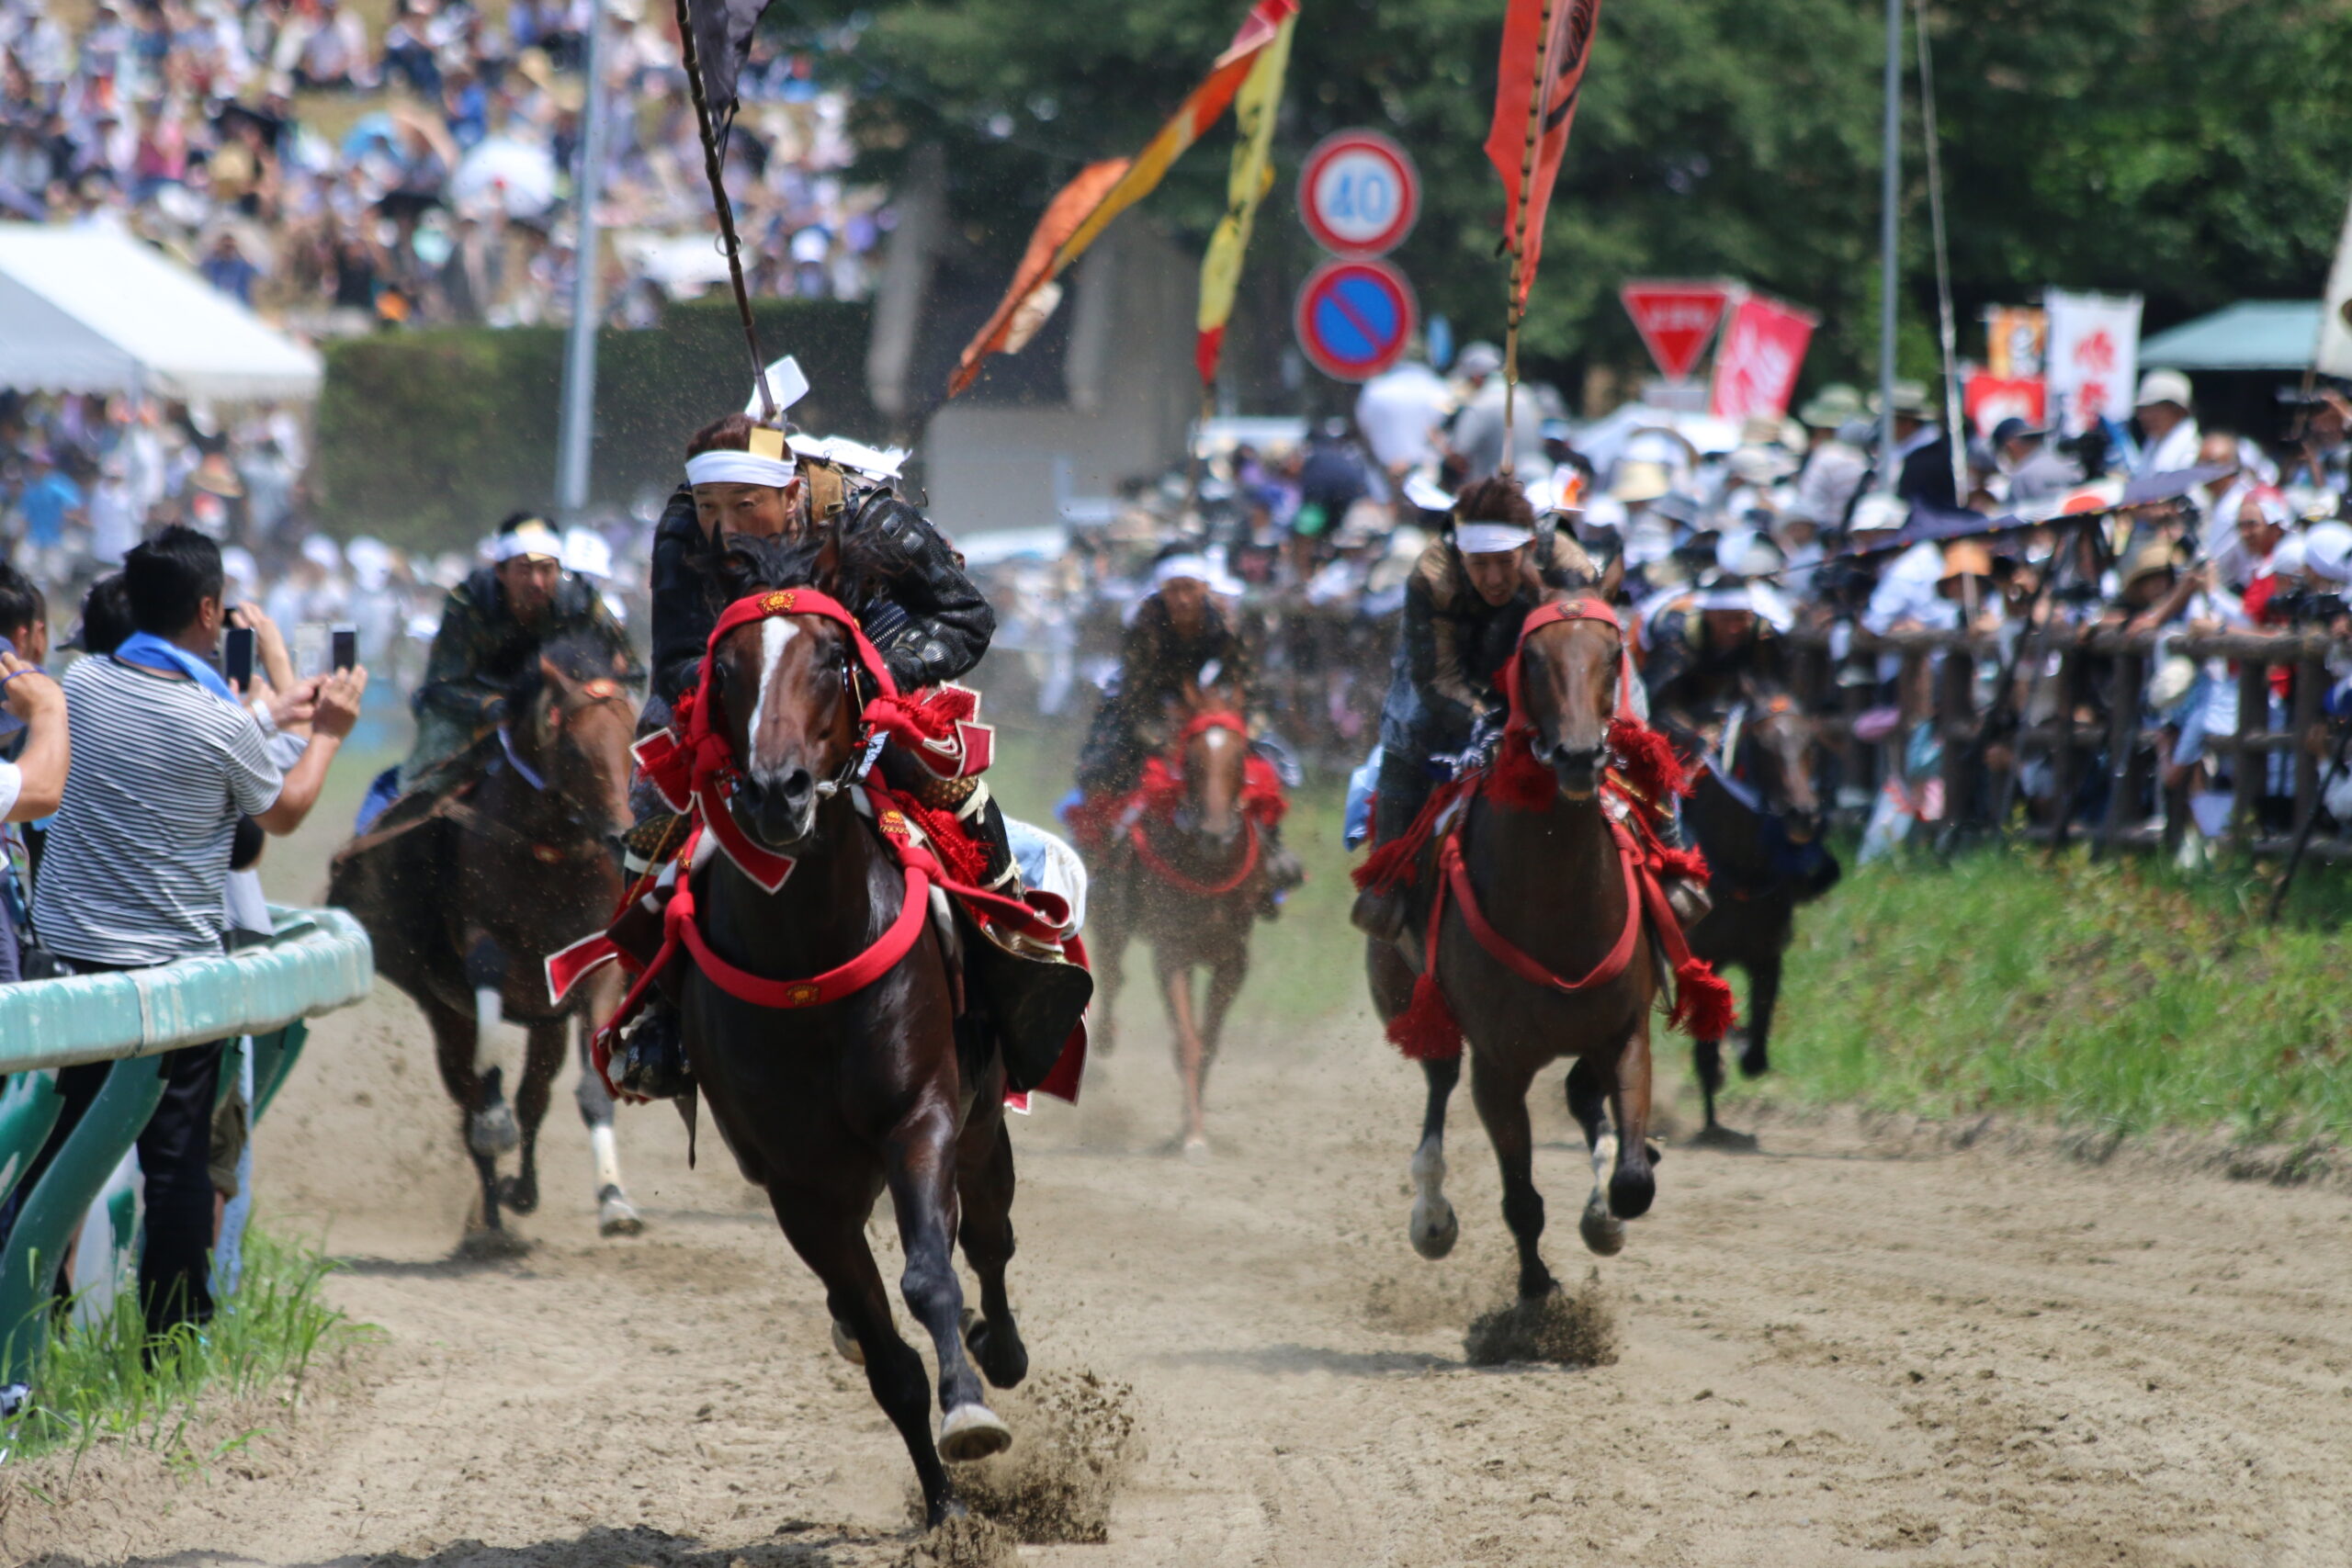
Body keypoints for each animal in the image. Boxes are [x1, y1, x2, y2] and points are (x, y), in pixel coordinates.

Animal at [329, 634, 644, 1241]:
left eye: (629, 738)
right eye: (575, 749)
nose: (621, 834)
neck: (550, 856)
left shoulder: (596, 967)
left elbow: (591, 1091)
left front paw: (616, 1200)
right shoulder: (479, 950)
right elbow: (489, 1007)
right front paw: (495, 1128)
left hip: (546, 1026)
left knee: (533, 1099)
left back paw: (520, 1192)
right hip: (444, 1015)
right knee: (472, 1098)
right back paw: (492, 1216)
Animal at [578, 533, 1077, 1523]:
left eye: (831, 657)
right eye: (727, 670)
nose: (778, 792)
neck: (806, 944)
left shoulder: (920, 1119)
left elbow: (930, 1274)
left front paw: (971, 1411)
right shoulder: (798, 1185)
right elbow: (886, 1357)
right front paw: (944, 1503)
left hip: (979, 1126)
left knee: (988, 1238)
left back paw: (998, 1350)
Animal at [1081, 686, 1288, 1152]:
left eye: (1240, 757)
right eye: (1191, 759)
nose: (1216, 835)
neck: (1207, 867)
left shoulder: (1233, 960)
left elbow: (1208, 1042)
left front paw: (1189, 1124)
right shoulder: (1172, 954)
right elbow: (1188, 1043)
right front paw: (1192, 1135)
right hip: (1111, 911)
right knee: (1112, 970)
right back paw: (1102, 1037)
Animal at [1363, 602, 1731, 1297]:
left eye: (1613, 654)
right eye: (1532, 660)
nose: (1580, 754)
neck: (1557, 909)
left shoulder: (1624, 1032)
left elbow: (1633, 1180)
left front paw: (1610, 1203)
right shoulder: (1498, 1066)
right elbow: (1520, 1197)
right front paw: (1539, 1291)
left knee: (1584, 1099)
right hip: (1407, 998)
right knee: (1437, 1084)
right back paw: (1432, 1216)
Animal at [1693, 682, 1834, 1142]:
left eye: (1812, 744)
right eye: (1761, 746)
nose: (1803, 814)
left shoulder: (1766, 956)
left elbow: (1756, 1048)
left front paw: (1738, 1048)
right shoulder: (1700, 956)